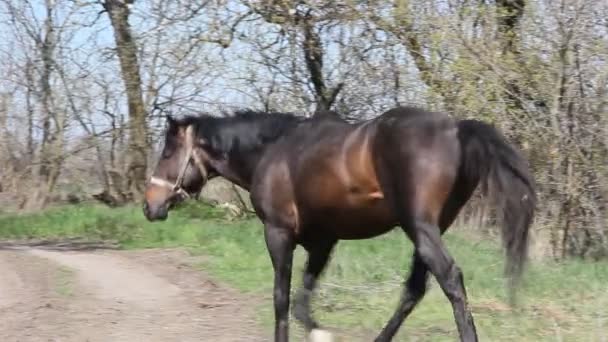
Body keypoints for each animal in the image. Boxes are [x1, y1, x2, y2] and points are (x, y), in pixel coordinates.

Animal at [144, 107, 536, 342]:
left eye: (168, 152)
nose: (150, 206)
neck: (273, 151)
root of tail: (457, 129)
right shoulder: (323, 241)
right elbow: (303, 299)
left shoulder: (278, 234)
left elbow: (282, 299)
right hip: (428, 229)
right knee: (414, 290)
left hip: (420, 228)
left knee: (450, 280)